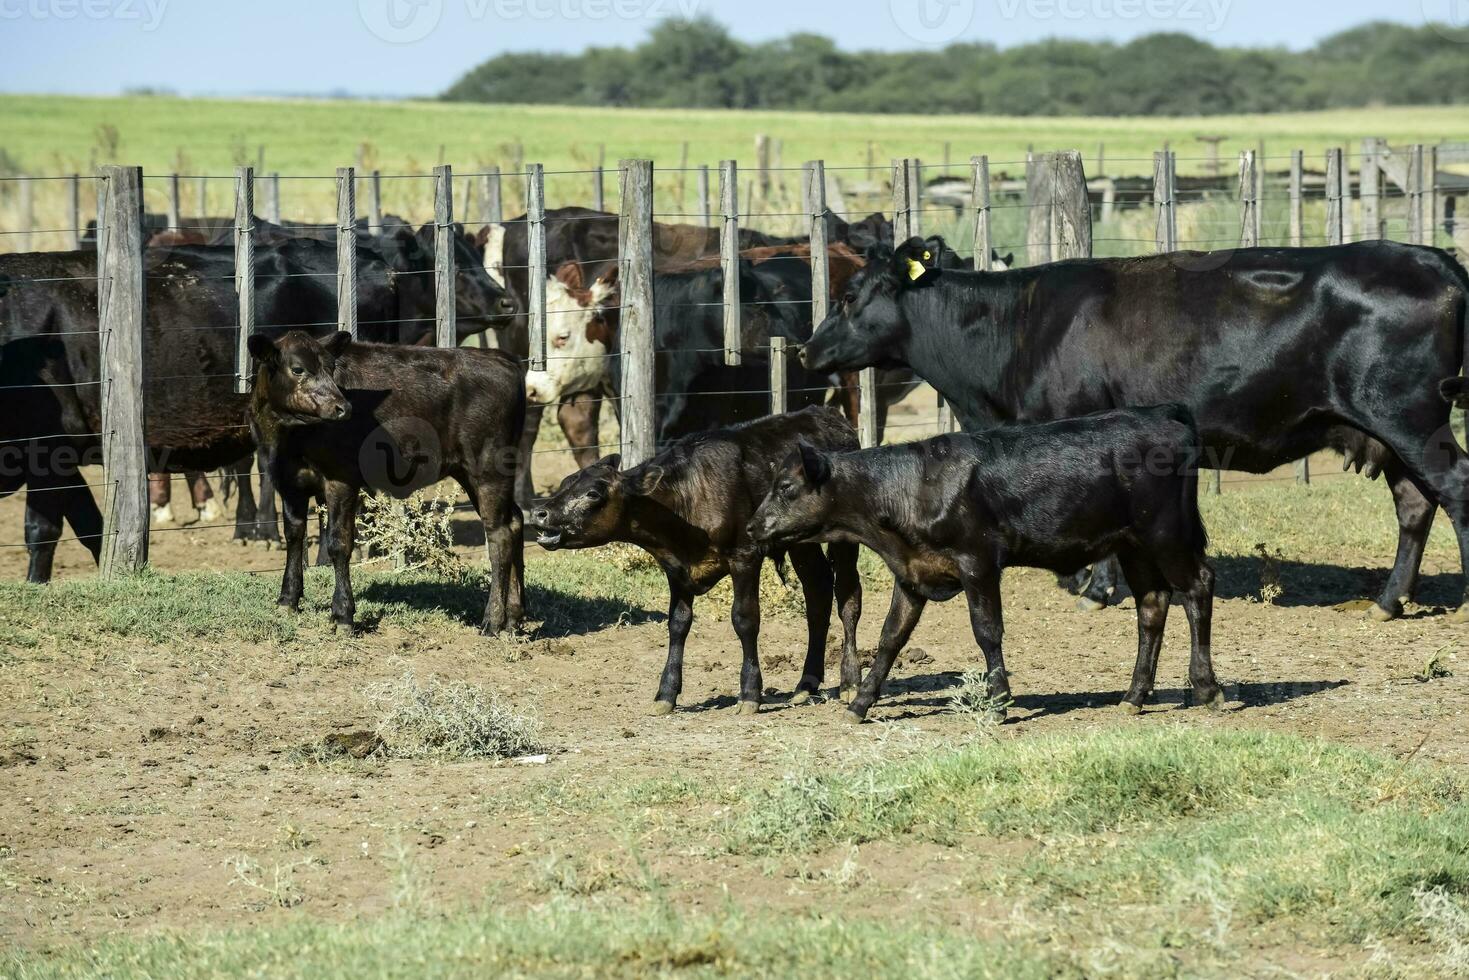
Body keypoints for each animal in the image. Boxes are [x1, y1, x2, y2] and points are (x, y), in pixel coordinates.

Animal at [249, 332, 525, 637]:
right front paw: (288, 600)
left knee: (499, 535)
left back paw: (493, 620)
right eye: (297, 369)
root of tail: (500, 358)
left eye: (331, 368)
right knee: (515, 522)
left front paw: (342, 614)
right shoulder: (288, 484)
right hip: (474, 474)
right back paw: (514, 617)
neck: (290, 436)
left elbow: (339, 543)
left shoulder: (341, 480)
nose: (342, 407)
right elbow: (293, 536)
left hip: (488, 470)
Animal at [528, 405, 857, 714]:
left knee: (848, 600)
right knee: (818, 594)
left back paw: (850, 683)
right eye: (565, 482)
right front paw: (666, 694)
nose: (539, 513)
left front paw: (750, 693)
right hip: (802, 546)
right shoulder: (676, 569)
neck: (689, 496)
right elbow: (678, 624)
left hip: (846, 539)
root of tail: (828, 415)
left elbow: (745, 619)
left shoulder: (745, 557)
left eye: (593, 493)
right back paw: (806, 684)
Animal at [746, 405, 1216, 719]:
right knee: (1152, 606)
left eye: (786, 487)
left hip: (1166, 535)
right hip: (1133, 545)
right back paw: (1133, 697)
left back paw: (1207, 689)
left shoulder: (978, 563)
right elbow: (891, 637)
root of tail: (1164, 415)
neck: (912, 486)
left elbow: (987, 631)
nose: (751, 527)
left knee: (1198, 586)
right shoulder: (912, 573)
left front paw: (999, 700)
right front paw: (861, 702)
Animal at [805, 238, 1469, 620]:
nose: (810, 350)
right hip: (1390, 430)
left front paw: (1097, 588)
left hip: (1411, 418)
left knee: (1455, 490)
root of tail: (1434, 257)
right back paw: (1388, 602)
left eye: (849, 295)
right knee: (1415, 504)